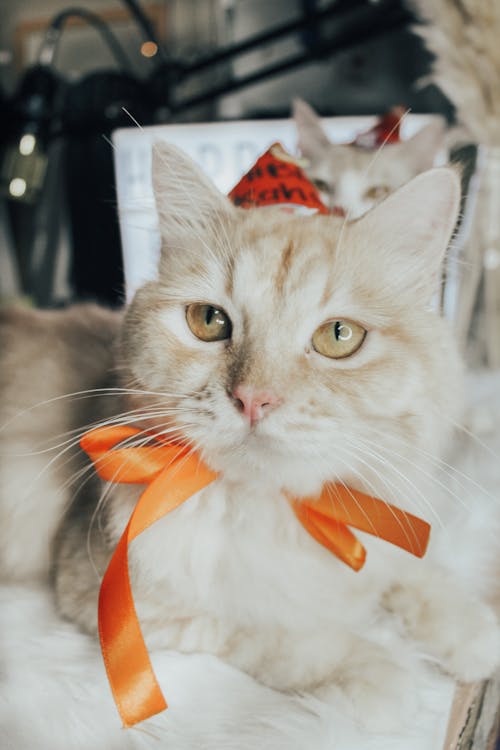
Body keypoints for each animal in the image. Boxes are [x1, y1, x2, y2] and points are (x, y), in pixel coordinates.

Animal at [0, 144, 500, 748]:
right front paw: (378, 674)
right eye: (208, 321)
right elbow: (278, 633)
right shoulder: (107, 591)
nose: (253, 399)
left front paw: (470, 631)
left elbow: (410, 573)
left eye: (339, 336)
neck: (282, 513)